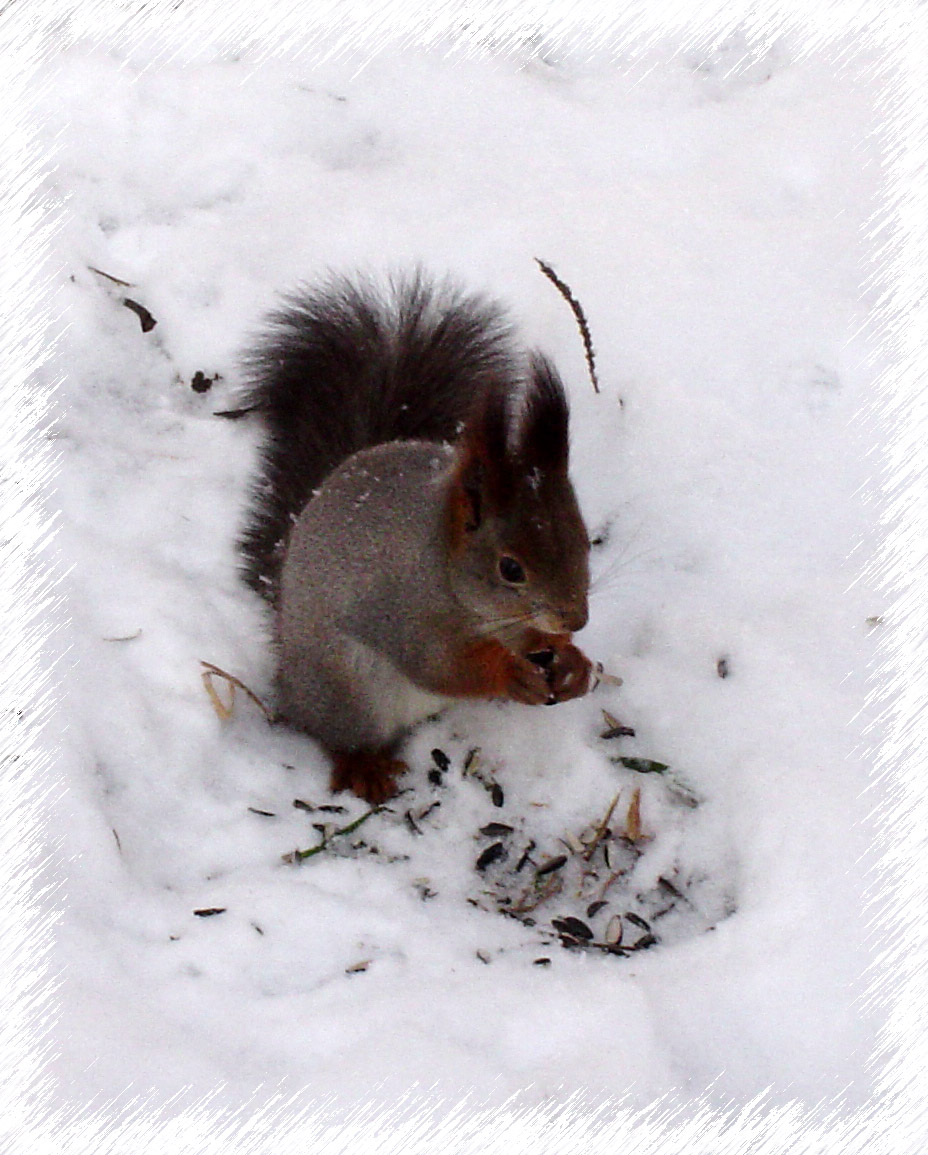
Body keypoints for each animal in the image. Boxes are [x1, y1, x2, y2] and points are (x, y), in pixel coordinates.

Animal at [235, 272, 591, 803]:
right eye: (510, 568)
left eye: (584, 540)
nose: (576, 619)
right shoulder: (408, 612)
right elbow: (439, 667)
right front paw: (509, 673)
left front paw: (572, 662)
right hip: (346, 690)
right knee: (338, 735)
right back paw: (365, 767)